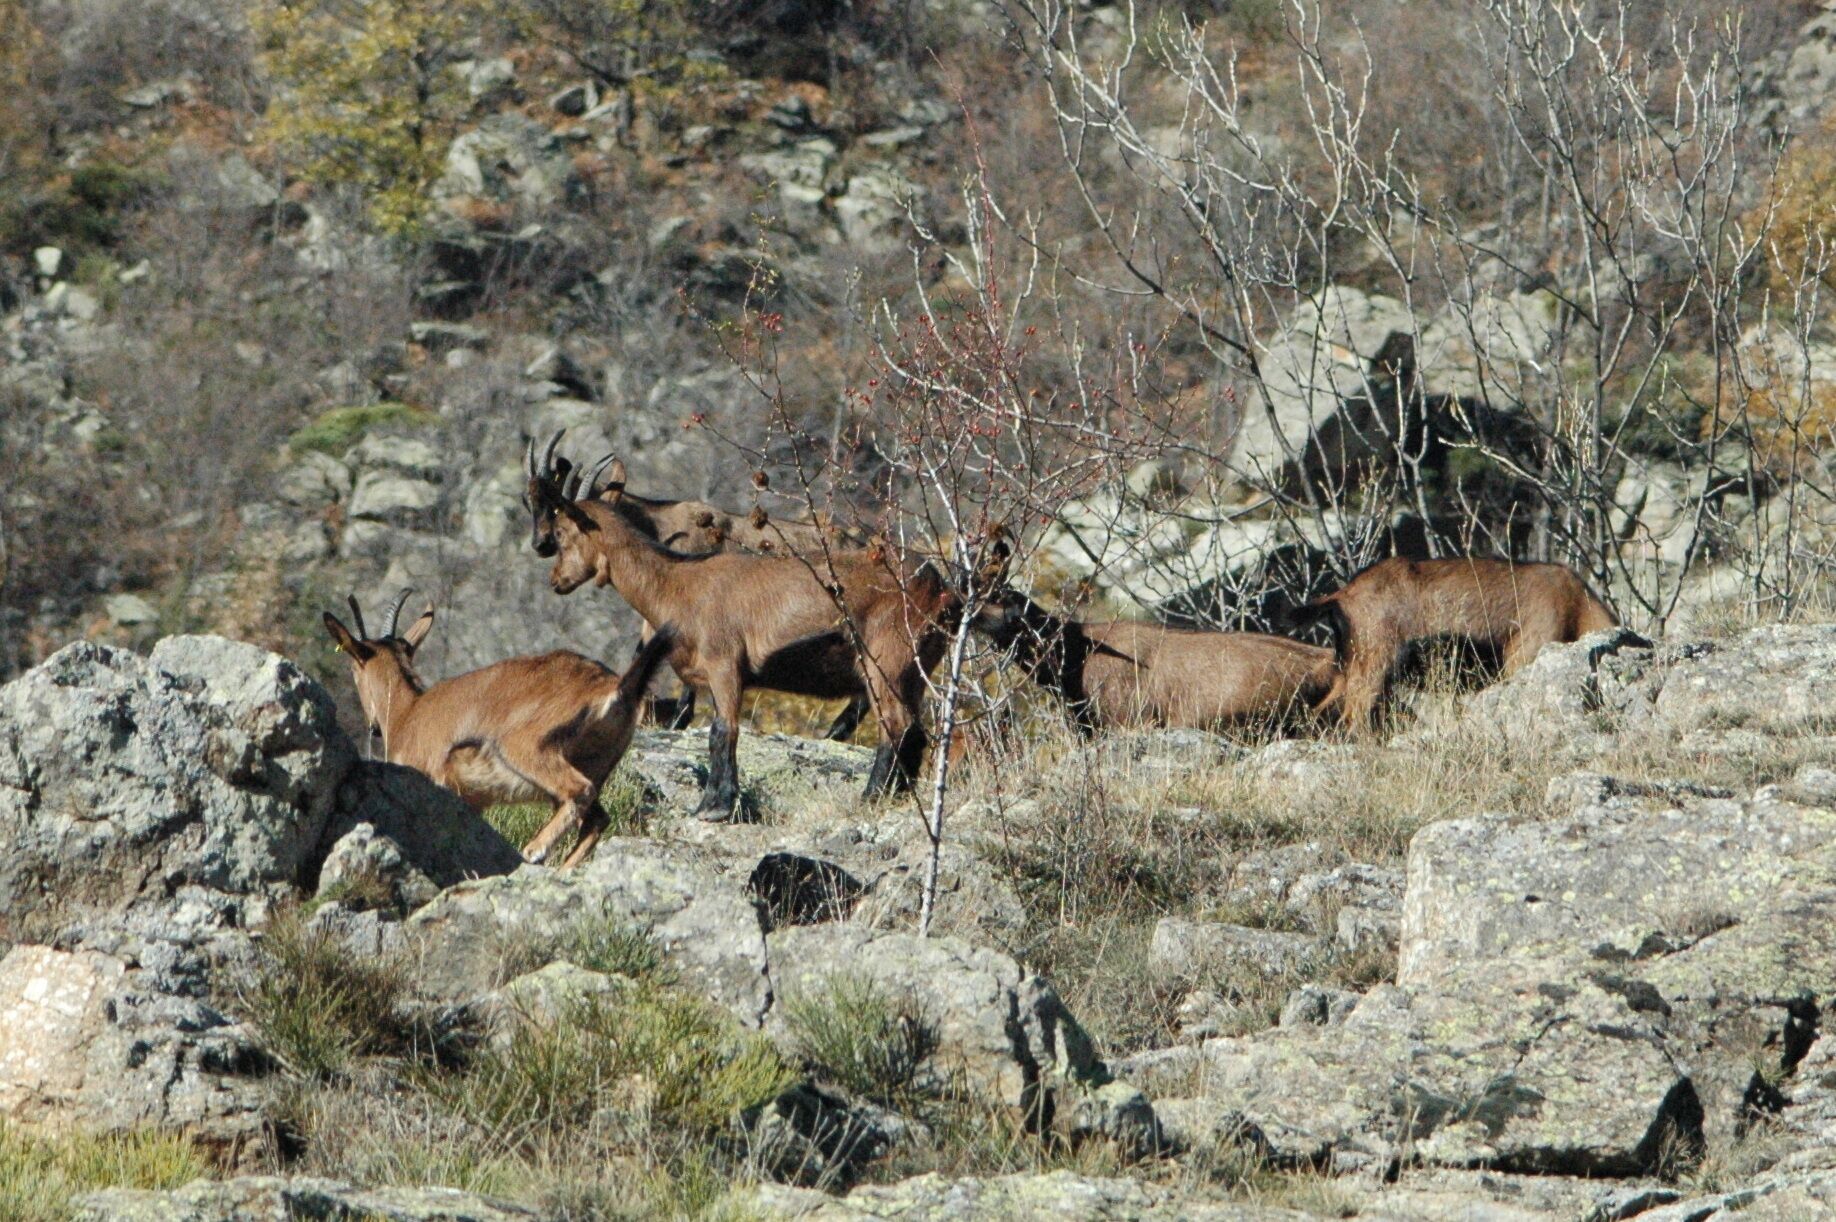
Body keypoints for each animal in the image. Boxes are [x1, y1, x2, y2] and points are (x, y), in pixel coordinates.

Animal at [322, 589, 675, 868]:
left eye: (353, 669)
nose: (373, 728)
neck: (408, 711)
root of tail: (614, 686)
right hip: (593, 763)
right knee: (596, 819)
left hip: (525, 748)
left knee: (580, 791)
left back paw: (533, 850)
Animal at [521, 434, 870, 741]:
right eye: (530, 502)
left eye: (559, 509)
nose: (541, 545)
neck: (660, 527)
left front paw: (678, 719)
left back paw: (836, 732)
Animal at [1285, 555, 1621, 731]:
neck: (1575, 603)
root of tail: (1342, 596)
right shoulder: (1524, 652)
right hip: (1375, 661)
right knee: (1353, 716)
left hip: (1352, 664)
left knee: (1319, 711)